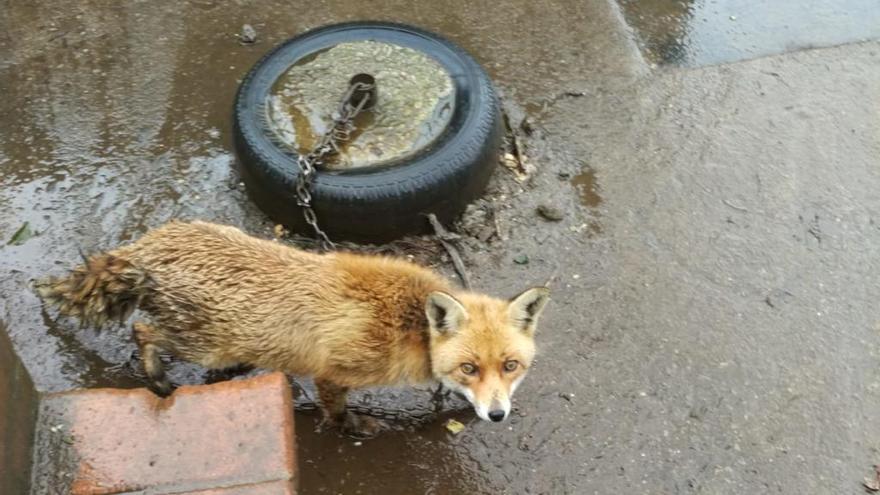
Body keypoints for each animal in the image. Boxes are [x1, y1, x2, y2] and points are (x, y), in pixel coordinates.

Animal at [41, 222, 552, 438]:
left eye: (510, 366)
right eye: (469, 367)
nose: (497, 416)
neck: (409, 327)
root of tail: (150, 244)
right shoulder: (333, 371)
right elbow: (337, 410)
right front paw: (352, 429)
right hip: (205, 345)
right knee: (144, 329)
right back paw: (159, 380)